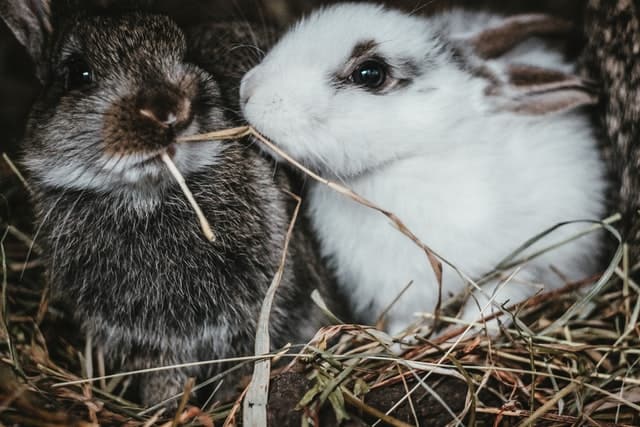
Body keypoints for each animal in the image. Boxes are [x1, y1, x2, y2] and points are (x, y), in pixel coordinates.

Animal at [239, 4, 604, 338]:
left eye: (369, 74)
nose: (247, 90)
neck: (416, 153)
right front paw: (401, 340)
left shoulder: (536, 259)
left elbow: (502, 292)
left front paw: (469, 328)